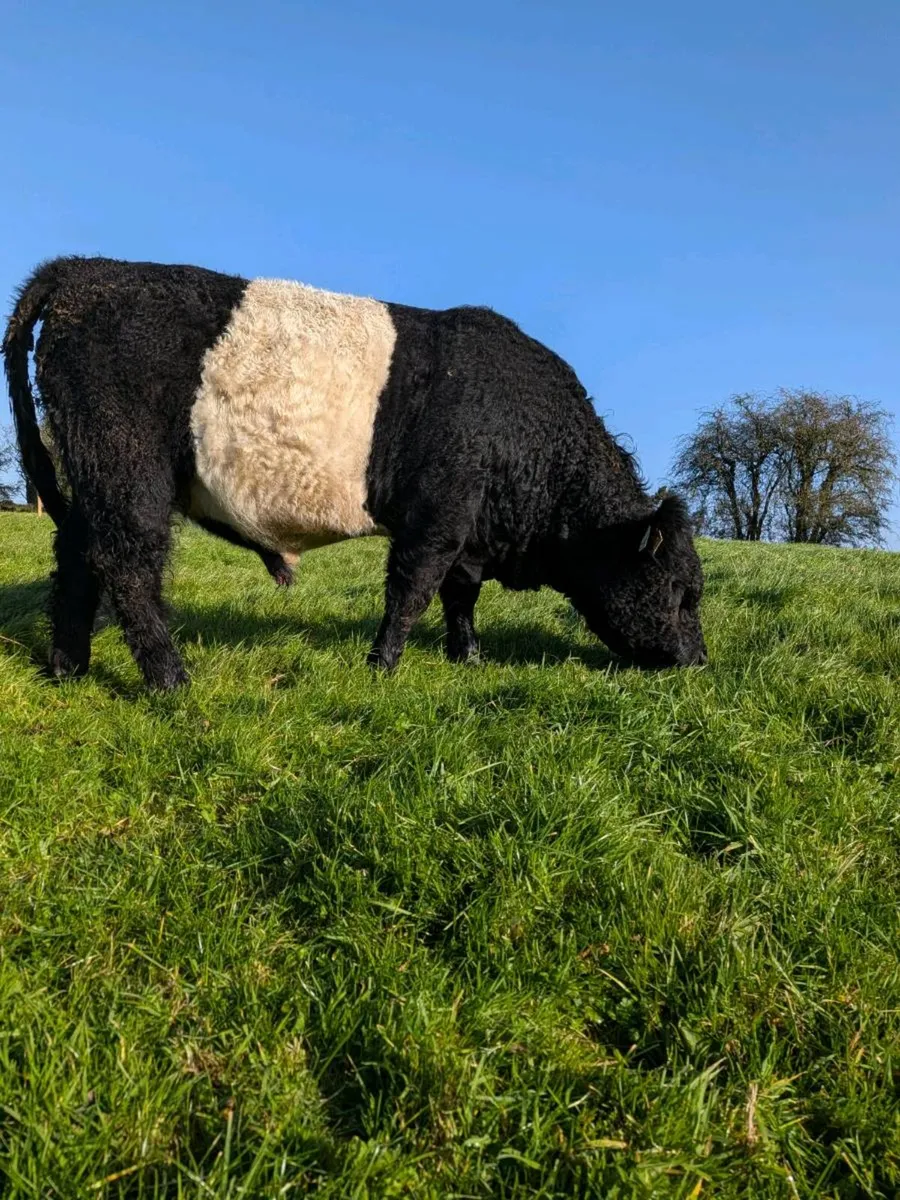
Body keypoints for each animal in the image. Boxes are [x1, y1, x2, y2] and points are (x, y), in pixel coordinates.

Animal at [4, 255, 707, 691]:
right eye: (681, 592)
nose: (698, 663)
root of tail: (83, 269)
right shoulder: (437, 516)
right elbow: (412, 589)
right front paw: (383, 666)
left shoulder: (468, 531)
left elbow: (459, 595)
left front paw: (467, 657)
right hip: (127, 468)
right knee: (128, 564)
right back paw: (170, 680)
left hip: (90, 477)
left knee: (77, 558)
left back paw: (69, 667)